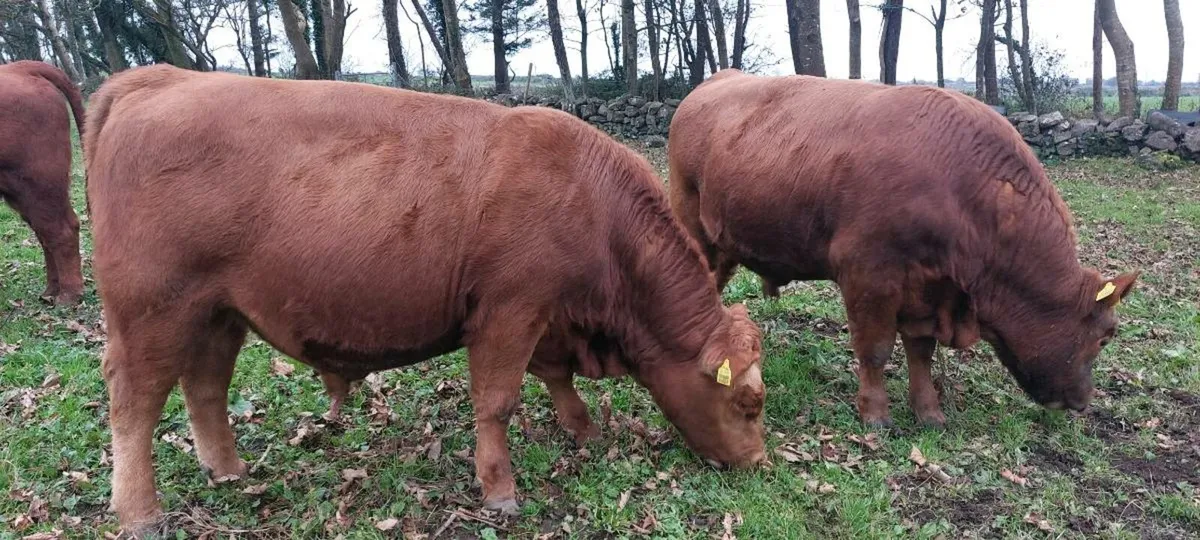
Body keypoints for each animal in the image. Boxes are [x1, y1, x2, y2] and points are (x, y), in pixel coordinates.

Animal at [0, 61, 86, 304]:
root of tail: (20, 67)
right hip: (23, 190)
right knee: (45, 233)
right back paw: (51, 291)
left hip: (39, 181)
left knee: (61, 229)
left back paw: (68, 295)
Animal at [84, 65, 766, 532]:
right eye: (748, 402)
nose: (760, 463)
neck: (592, 202)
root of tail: (158, 78)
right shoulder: (510, 310)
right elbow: (497, 402)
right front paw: (499, 489)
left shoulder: (545, 317)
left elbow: (555, 377)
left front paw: (584, 430)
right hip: (152, 311)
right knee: (135, 403)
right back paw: (140, 512)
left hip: (218, 312)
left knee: (205, 385)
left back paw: (227, 470)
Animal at [668, 70, 1138, 428]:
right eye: (1106, 335)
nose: (1082, 401)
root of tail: (715, 80)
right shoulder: (868, 276)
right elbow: (875, 350)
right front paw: (875, 414)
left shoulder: (927, 290)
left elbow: (920, 353)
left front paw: (928, 412)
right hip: (690, 223)